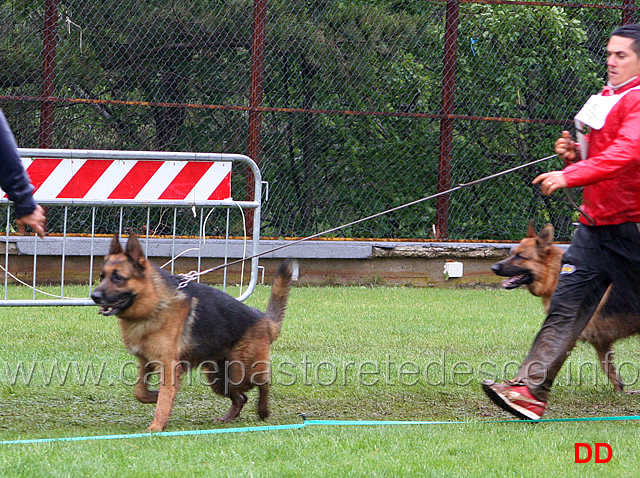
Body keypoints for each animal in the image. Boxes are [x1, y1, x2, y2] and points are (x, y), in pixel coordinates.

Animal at [91, 233, 292, 432]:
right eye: (102, 276)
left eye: (118, 278)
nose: (94, 296)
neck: (154, 302)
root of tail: (263, 319)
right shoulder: (145, 362)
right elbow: (140, 392)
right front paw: (155, 396)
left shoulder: (168, 366)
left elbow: (163, 399)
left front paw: (156, 426)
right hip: (219, 379)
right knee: (241, 397)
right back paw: (229, 418)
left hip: (242, 372)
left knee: (263, 383)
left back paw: (263, 410)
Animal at [492, 222, 640, 394]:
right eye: (512, 253)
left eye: (520, 256)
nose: (494, 267)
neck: (554, 275)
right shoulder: (600, 341)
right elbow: (608, 368)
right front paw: (620, 390)